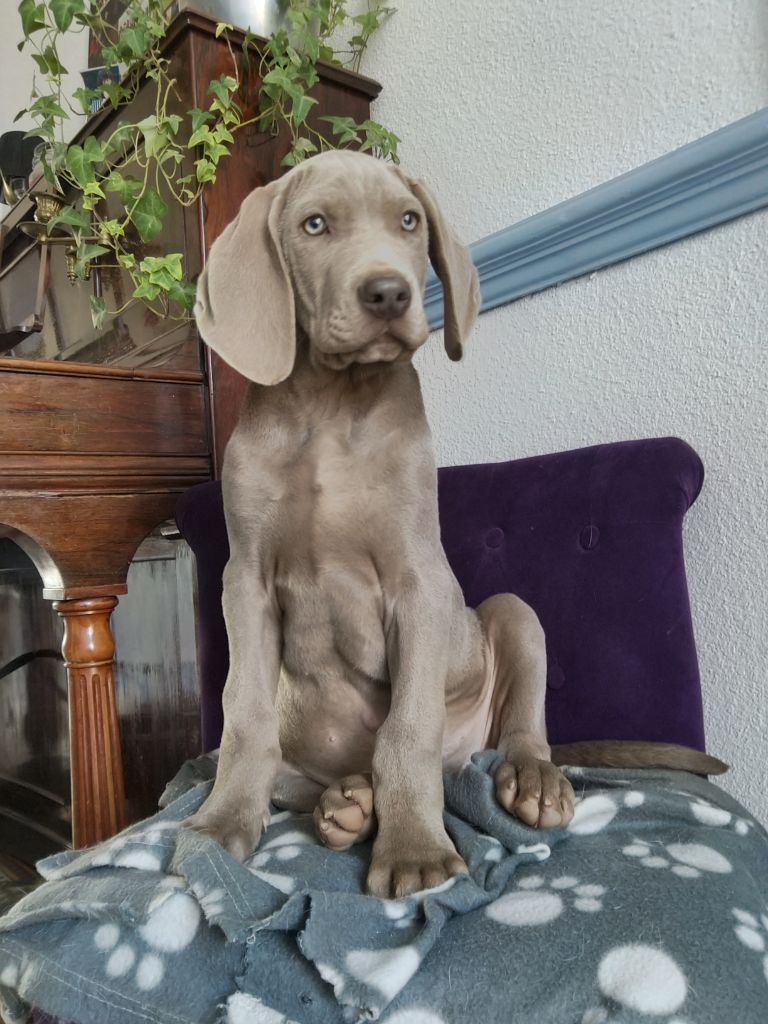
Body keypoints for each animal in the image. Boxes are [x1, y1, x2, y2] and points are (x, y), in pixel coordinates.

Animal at [187, 150, 726, 898]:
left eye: (409, 221)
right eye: (314, 225)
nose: (388, 293)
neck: (333, 402)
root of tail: (466, 759)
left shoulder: (416, 583)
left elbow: (406, 729)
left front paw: (414, 850)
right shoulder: (245, 581)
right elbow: (245, 714)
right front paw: (221, 825)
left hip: (512, 616)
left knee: (521, 729)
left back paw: (528, 781)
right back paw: (346, 805)